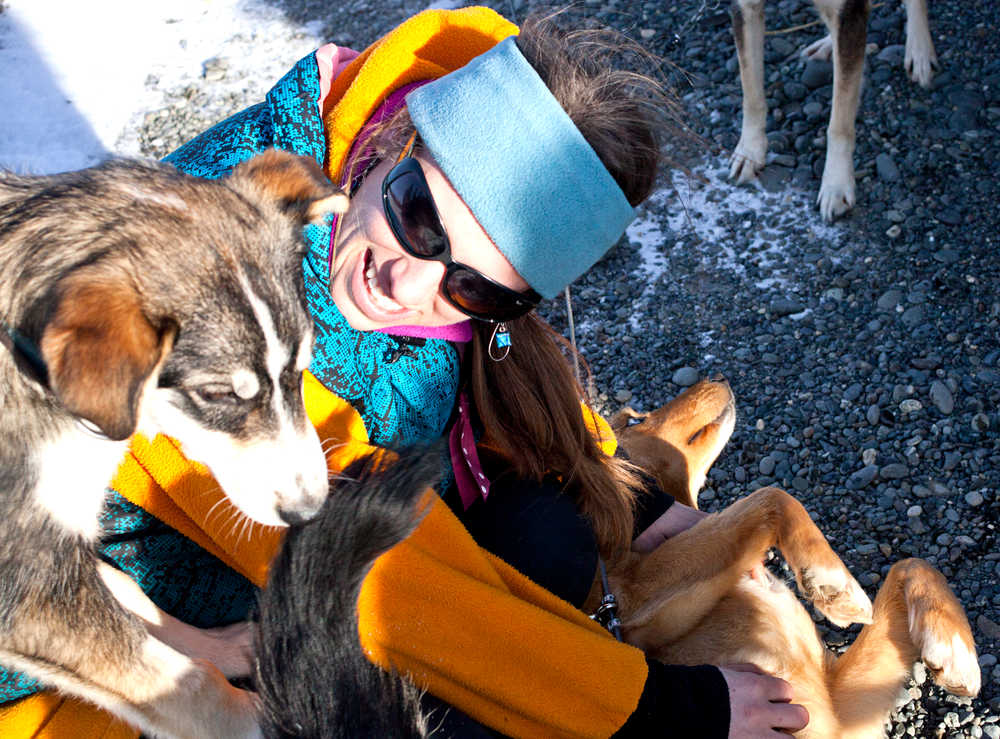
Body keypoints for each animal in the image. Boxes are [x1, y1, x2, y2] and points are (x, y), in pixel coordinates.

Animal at [0, 152, 348, 739]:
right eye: (216, 394)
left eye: (300, 369)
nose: (309, 511)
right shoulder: (29, 590)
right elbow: (186, 683)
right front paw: (256, 717)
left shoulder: (56, 552)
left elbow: (132, 597)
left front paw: (222, 647)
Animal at [728, 0, 936, 221]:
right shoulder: (745, 8)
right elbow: (751, 93)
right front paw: (749, 152)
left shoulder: (850, 14)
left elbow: (839, 122)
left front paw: (836, 184)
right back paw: (830, 43)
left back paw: (919, 51)